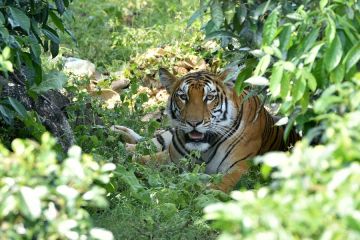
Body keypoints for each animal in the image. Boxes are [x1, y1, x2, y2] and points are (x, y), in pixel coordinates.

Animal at [113, 68, 300, 192]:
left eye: (209, 97)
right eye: (183, 96)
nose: (194, 122)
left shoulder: (239, 169)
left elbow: (218, 187)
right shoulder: (174, 158)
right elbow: (144, 160)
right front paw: (122, 163)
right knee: (150, 142)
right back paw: (119, 136)